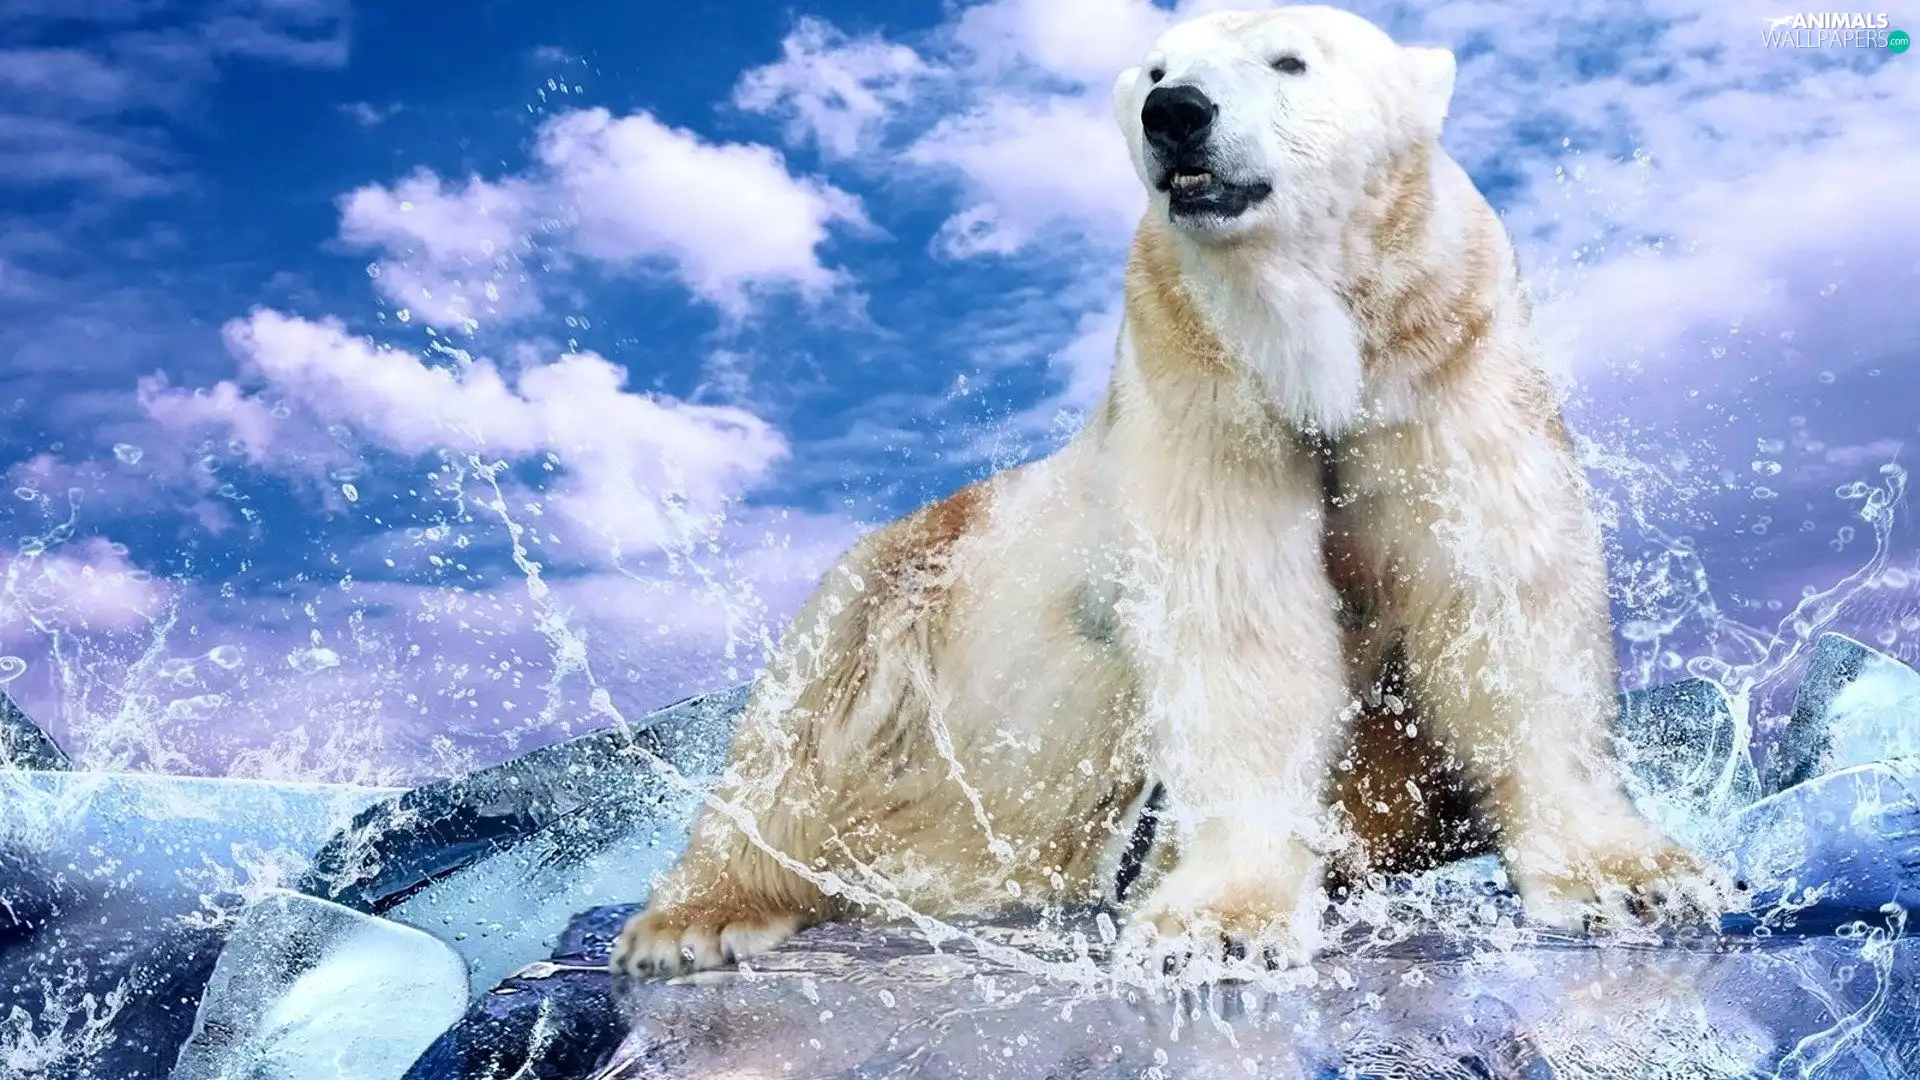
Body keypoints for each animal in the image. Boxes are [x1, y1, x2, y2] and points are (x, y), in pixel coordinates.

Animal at [610, 4, 1727, 982]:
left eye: (1289, 59)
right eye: (1154, 68)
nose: (1175, 112)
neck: (1306, 352)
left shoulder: (1445, 356)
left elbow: (1499, 589)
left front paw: (1636, 880)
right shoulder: (1199, 385)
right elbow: (1233, 620)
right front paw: (1218, 928)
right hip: (889, 595)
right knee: (791, 734)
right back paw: (697, 920)